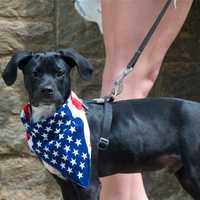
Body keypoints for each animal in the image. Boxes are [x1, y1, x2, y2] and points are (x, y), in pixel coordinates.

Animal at [1, 49, 200, 199]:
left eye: (60, 73)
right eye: (35, 73)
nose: (46, 90)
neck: (53, 122)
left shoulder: (89, 185)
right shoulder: (66, 185)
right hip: (187, 176)